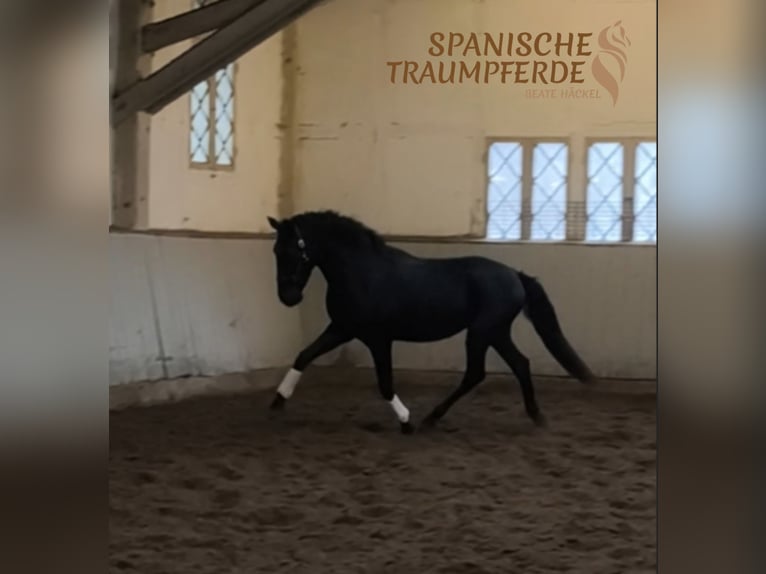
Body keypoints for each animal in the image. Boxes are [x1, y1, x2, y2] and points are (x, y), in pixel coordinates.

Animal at [266, 210, 596, 434]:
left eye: (295, 249)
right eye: (275, 250)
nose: (288, 297)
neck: (362, 273)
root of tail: (515, 275)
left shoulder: (378, 339)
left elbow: (385, 383)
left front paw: (406, 422)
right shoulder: (343, 329)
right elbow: (304, 356)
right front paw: (278, 401)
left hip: (481, 332)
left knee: (476, 373)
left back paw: (431, 417)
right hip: (496, 333)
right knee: (519, 365)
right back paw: (535, 416)